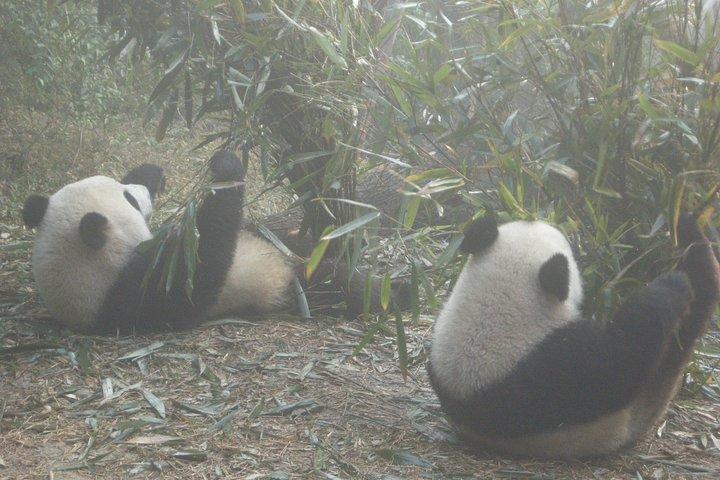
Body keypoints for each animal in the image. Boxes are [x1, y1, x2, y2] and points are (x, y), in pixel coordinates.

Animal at [22, 151, 296, 334]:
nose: (142, 191)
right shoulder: (137, 298)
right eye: (131, 199)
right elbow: (198, 267)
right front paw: (226, 168)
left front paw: (151, 173)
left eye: (126, 190)